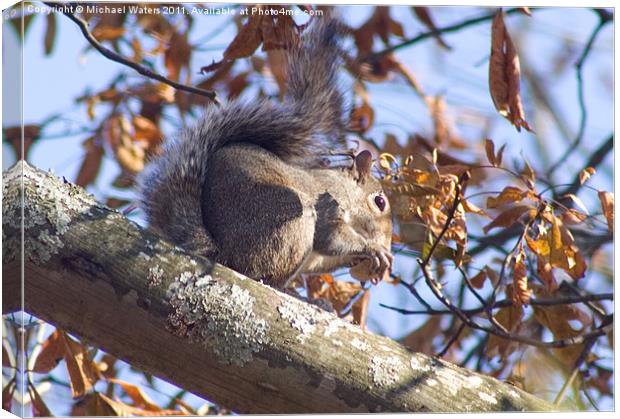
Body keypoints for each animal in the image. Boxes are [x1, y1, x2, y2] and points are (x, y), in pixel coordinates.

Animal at [139, 14, 394, 288]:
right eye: (379, 202)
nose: (386, 242)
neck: (346, 189)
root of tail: (222, 253)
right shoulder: (329, 200)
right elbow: (331, 237)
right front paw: (372, 249)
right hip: (287, 215)